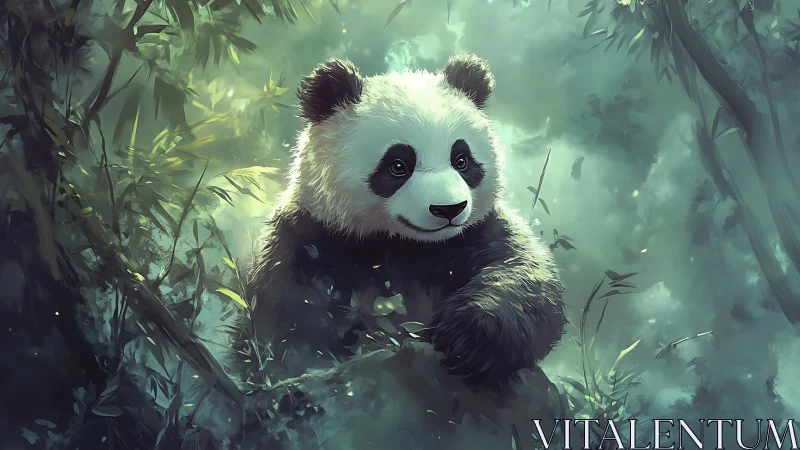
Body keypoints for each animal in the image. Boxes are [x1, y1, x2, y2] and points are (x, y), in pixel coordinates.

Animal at [235, 54, 567, 390]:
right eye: (398, 166)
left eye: (461, 160)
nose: (449, 209)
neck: (404, 244)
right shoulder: (311, 237)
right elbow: (284, 314)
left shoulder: (476, 231)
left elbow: (521, 272)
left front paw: (469, 338)